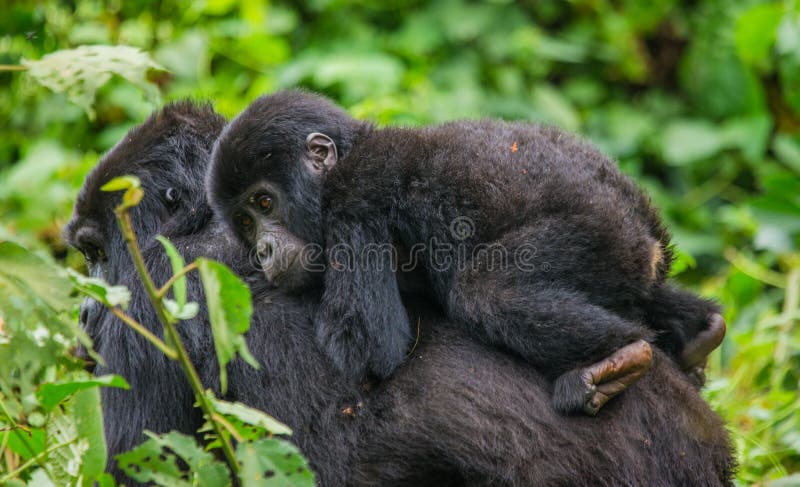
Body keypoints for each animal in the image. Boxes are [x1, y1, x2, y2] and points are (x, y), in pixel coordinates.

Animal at [206, 90, 724, 416]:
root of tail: (647, 232)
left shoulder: (356, 194)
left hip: (605, 237)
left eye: (265, 203)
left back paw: (623, 356)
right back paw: (699, 332)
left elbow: (370, 349)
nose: (264, 249)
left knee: (486, 293)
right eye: (245, 224)